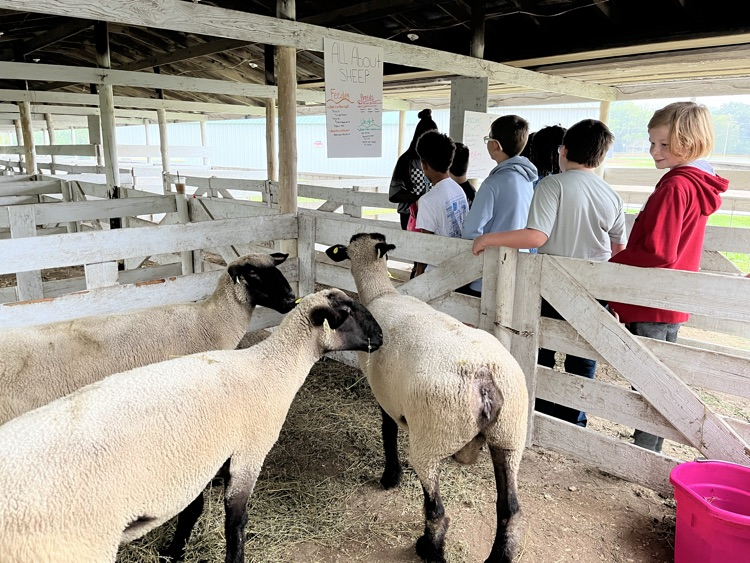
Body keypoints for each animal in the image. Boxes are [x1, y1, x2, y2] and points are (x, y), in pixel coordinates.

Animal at [0, 288, 383, 563]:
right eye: (348, 312)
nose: (382, 337)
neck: (272, 367)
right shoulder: (249, 451)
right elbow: (235, 521)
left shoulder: (201, 458)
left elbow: (192, 510)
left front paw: (173, 551)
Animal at [326, 232, 528, 563]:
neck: (382, 293)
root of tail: (484, 380)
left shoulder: (384, 392)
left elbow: (388, 431)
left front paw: (390, 477)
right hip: (509, 436)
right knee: (509, 509)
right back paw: (498, 557)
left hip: (433, 439)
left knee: (437, 511)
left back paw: (429, 549)